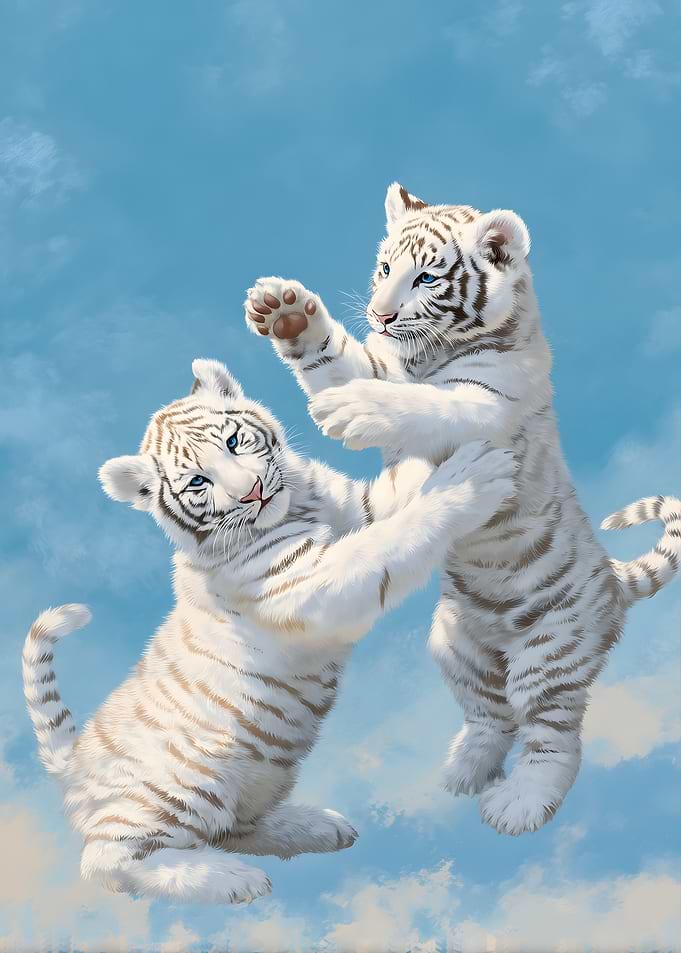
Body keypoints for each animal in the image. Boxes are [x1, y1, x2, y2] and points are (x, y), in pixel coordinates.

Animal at [22, 357, 515, 904]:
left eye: (235, 441)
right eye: (197, 482)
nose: (252, 492)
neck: (300, 505)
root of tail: (73, 764)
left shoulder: (359, 507)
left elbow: (406, 482)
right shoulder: (309, 583)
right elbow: (390, 540)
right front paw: (475, 479)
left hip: (263, 774)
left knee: (235, 826)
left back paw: (317, 827)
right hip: (181, 785)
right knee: (111, 861)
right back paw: (230, 879)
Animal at [244, 183, 681, 836]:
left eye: (426, 278)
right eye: (384, 269)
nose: (380, 315)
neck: (426, 356)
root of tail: (611, 580)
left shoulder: (489, 402)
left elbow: (432, 404)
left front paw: (354, 410)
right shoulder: (381, 361)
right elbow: (340, 363)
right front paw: (286, 313)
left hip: (550, 654)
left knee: (553, 735)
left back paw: (520, 803)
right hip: (455, 646)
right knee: (489, 713)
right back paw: (463, 770)